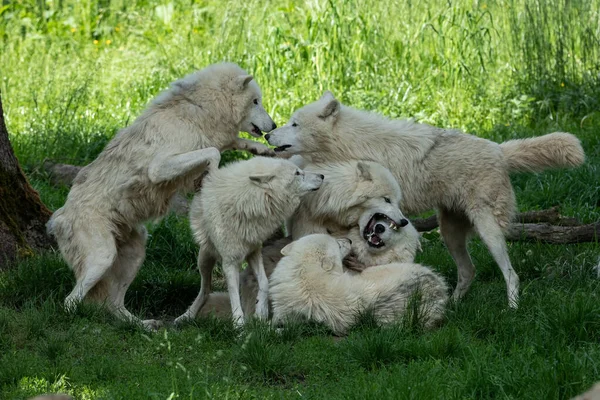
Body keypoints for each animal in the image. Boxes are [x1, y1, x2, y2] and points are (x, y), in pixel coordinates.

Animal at [48, 62, 278, 330]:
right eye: (255, 101)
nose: (273, 126)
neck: (199, 110)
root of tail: (57, 218)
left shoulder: (219, 139)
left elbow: (233, 142)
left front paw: (261, 149)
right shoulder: (159, 168)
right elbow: (214, 152)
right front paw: (210, 176)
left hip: (136, 252)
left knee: (114, 303)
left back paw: (143, 325)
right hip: (102, 258)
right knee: (70, 301)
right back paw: (81, 324)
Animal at [173, 155, 324, 326]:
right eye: (297, 173)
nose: (322, 176)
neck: (248, 202)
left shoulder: (253, 252)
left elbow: (264, 282)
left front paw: (261, 312)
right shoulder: (230, 262)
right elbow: (234, 297)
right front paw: (239, 325)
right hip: (204, 259)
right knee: (205, 289)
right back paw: (186, 316)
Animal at [264, 92, 584, 308]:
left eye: (294, 124)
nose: (268, 135)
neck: (347, 144)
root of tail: (499, 149)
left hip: (488, 232)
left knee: (511, 274)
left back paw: (512, 309)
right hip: (450, 233)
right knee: (469, 271)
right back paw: (453, 305)